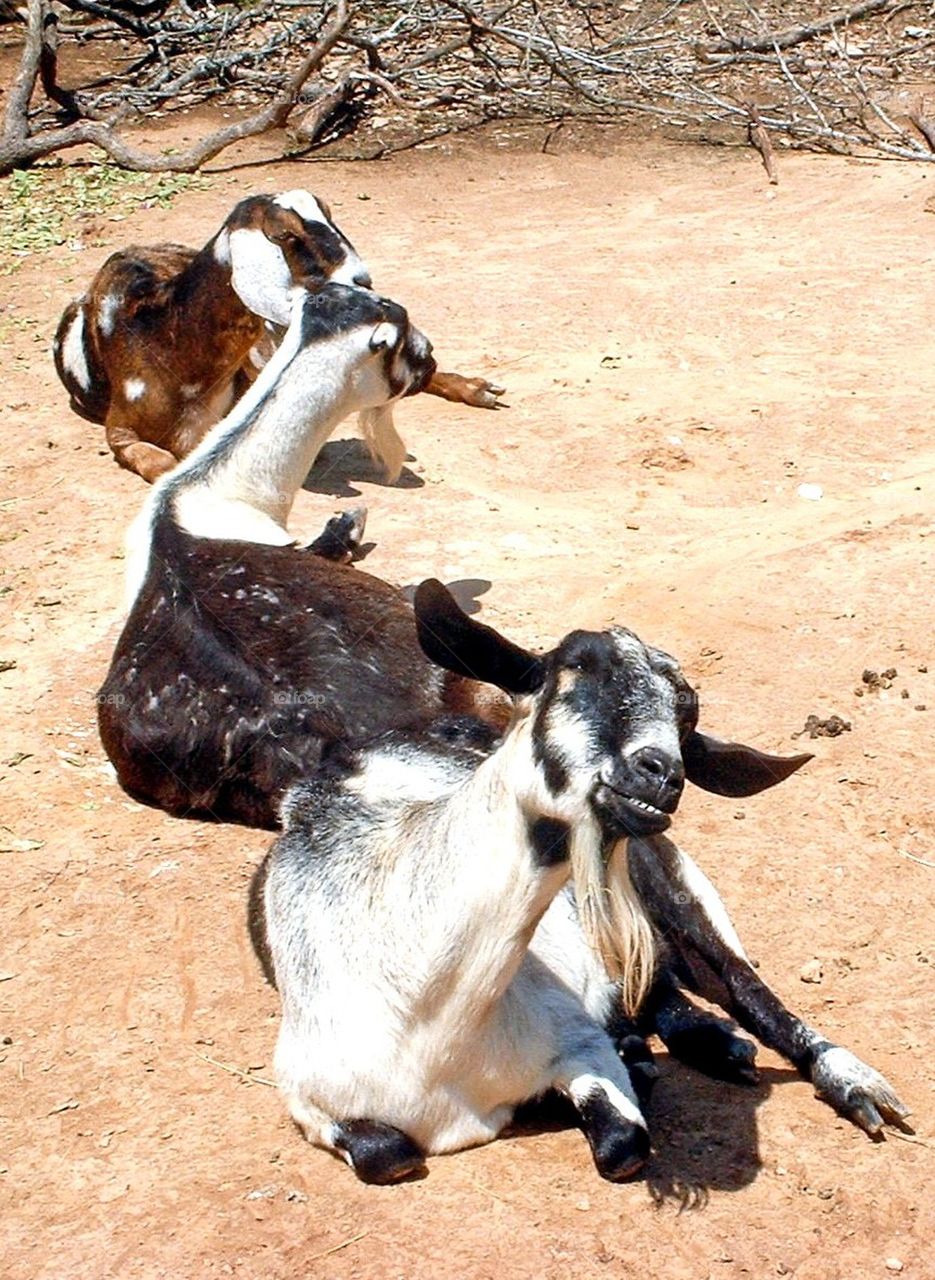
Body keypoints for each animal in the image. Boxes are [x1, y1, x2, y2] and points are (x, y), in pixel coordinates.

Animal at [53, 190, 504, 483]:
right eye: (288, 235)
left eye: (330, 217)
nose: (362, 279)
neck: (170, 343)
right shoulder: (120, 431)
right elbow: (158, 463)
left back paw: (476, 388)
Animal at [251, 579, 908, 1184]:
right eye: (574, 672)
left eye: (685, 716)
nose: (661, 774)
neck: (429, 1017)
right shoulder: (313, 1101)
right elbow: (385, 1154)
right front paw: (642, 1054)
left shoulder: (577, 1042)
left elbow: (624, 1147)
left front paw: (638, 1066)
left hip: (657, 874)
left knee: (731, 979)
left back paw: (840, 1078)